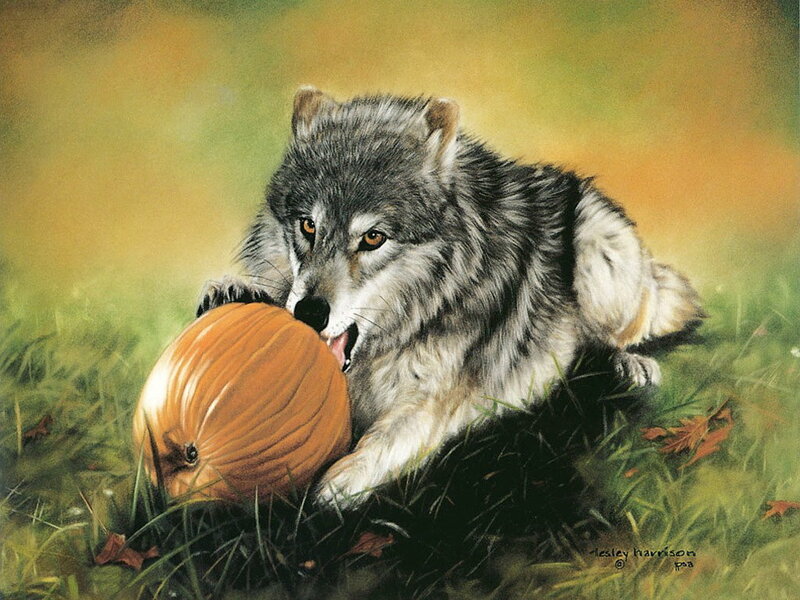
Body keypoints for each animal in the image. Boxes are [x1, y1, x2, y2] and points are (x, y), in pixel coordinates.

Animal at [198, 86, 703, 509]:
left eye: (373, 238)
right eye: (308, 226)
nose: (308, 313)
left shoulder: (429, 406)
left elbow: (369, 454)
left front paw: (326, 491)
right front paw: (230, 291)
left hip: (597, 250)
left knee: (615, 336)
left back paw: (630, 365)